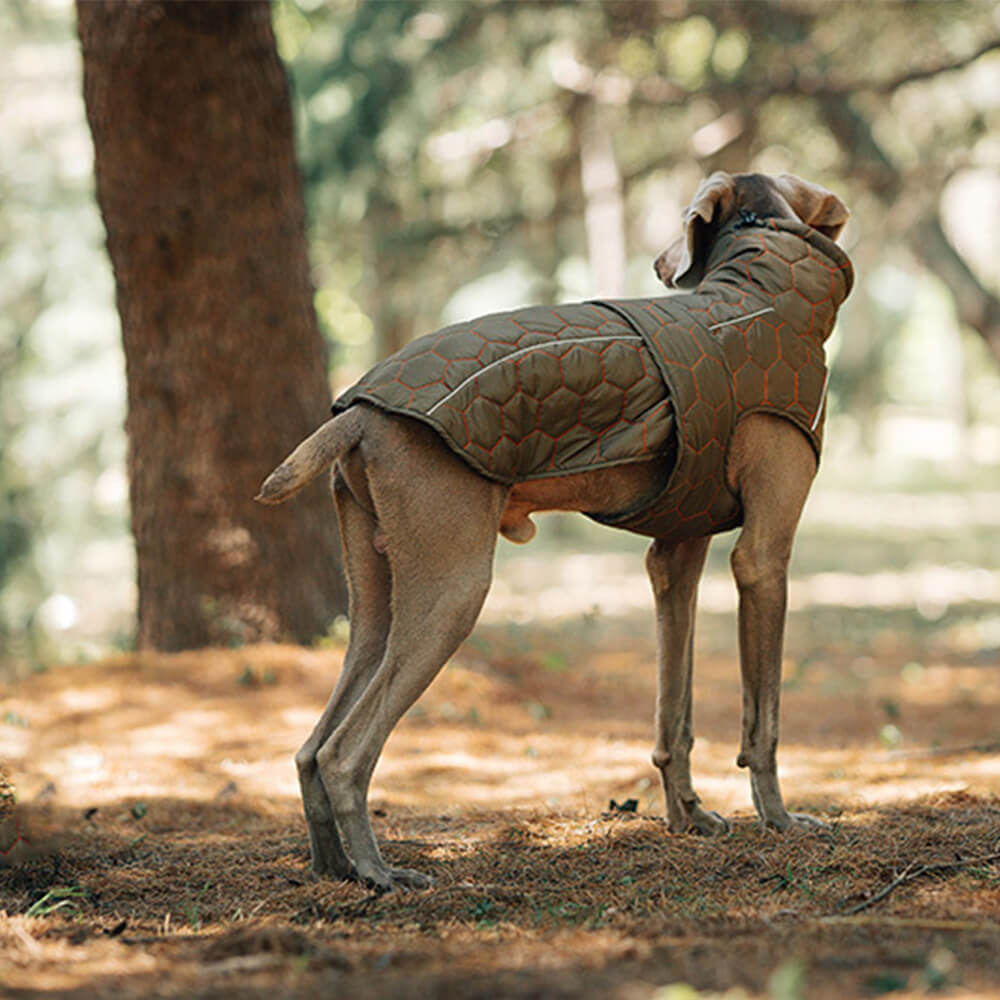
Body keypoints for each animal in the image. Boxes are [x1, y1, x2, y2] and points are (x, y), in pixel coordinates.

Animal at [256, 172, 852, 892]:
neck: (761, 287)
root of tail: (360, 415)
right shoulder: (763, 559)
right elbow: (762, 722)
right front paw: (781, 820)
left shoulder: (674, 560)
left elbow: (673, 715)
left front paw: (688, 816)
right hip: (453, 591)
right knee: (345, 753)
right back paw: (380, 872)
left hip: (377, 606)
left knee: (311, 747)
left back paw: (334, 868)